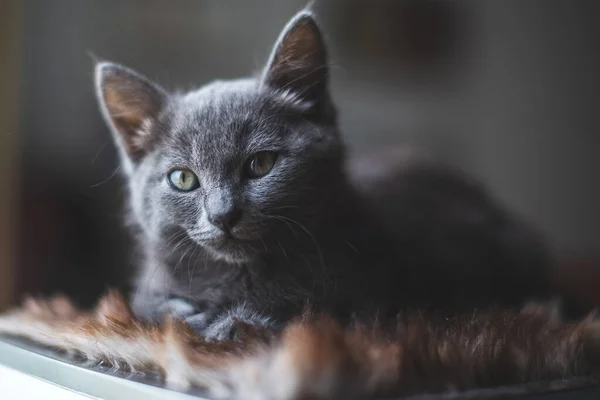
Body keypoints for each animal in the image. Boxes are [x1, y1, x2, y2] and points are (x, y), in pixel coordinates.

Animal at [97, 10, 552, 340]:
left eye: (261, 164)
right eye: (183, 179)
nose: (223, 215)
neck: (240, 277)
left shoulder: (376, 290)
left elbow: (314, 307)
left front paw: (237, 323)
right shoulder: (147, 287)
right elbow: (146, 306)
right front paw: (185, 315)